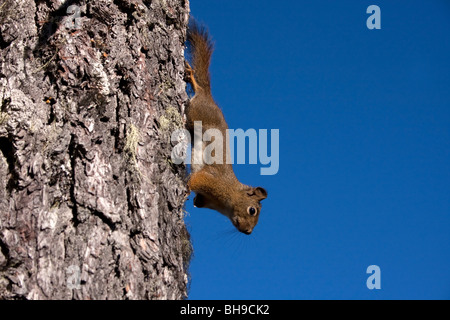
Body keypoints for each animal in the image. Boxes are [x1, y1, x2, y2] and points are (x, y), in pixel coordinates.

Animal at [184, 20, 268, 235]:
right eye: (252, 210)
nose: (248, 232)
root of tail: (210, 98)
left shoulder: (206, 199)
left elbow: (198, 200)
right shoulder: (210, 181)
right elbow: (194, 180)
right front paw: (185, 188)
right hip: (198, 112)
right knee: (198, 91)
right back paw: (193, 79)